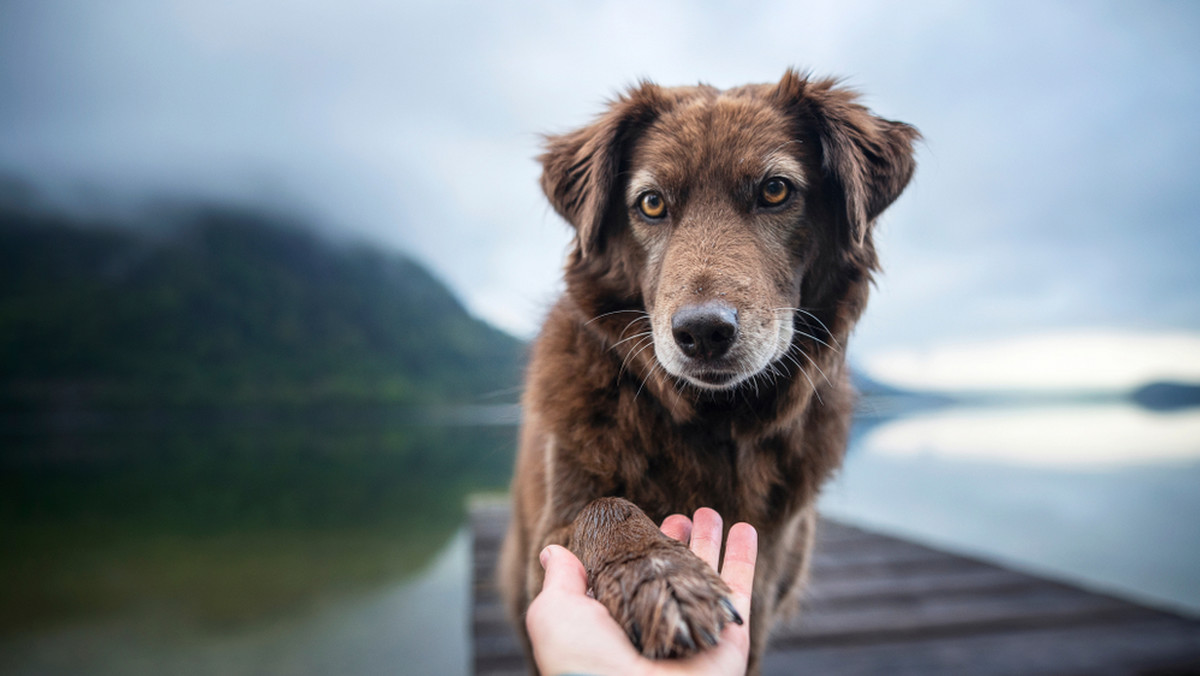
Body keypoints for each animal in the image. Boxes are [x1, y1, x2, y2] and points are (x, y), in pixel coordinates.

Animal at [496, 68, 916, 672]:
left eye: (775, 190)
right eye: (650, 203)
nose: (702, 333)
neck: (714, 421)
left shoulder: (766, 589)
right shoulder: (549, 537)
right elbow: (603, 509)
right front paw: (660, 575)